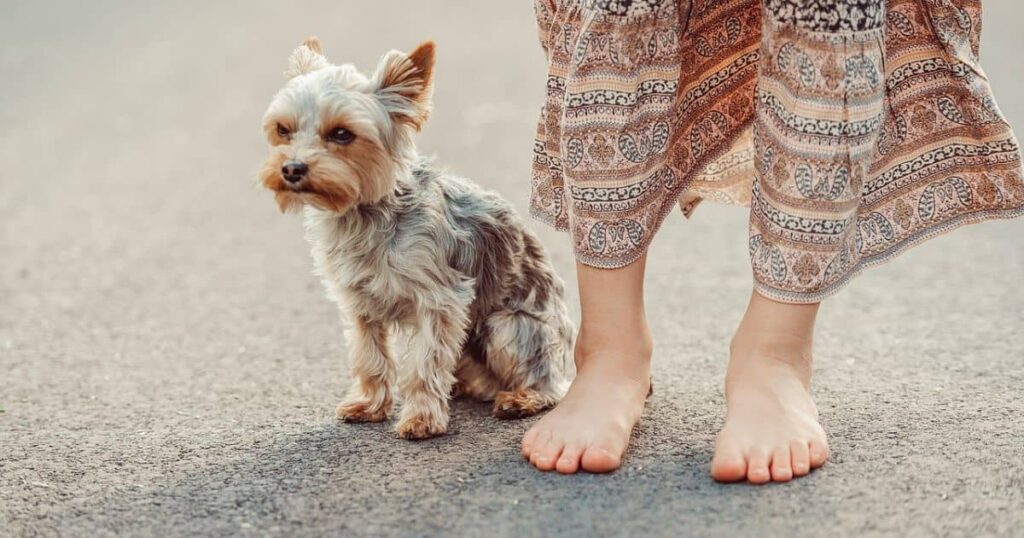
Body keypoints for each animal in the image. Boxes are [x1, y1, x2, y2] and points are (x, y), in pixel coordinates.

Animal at [258, 38, 577, 440]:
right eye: (283, 130)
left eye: (342, 134)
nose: (291, 168)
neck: (366, 212)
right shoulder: (360, 304)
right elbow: (370, 356)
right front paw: (370, 405)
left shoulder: (440, 300)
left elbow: (424, 364)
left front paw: (422, 419)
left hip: (509, 326)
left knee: (547, 384)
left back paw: (521, 398)